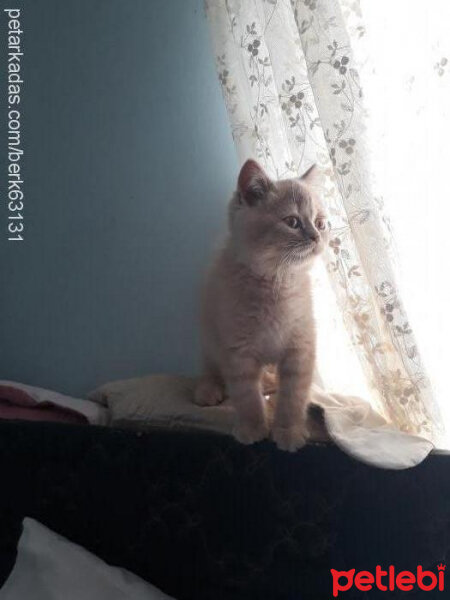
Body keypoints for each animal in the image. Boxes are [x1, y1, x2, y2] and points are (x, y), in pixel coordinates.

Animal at [193, 159, 326, 450]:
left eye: (321, 223)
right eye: (292, 221)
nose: (316, 237)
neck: (275, 283)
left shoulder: (300, 346)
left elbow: (292, 397)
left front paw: (288, 431)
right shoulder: (237, 351)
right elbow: (246, 397)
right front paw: (254, 428)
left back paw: (268, 384)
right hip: (209, 338)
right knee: (210, 367)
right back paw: (208, 389)